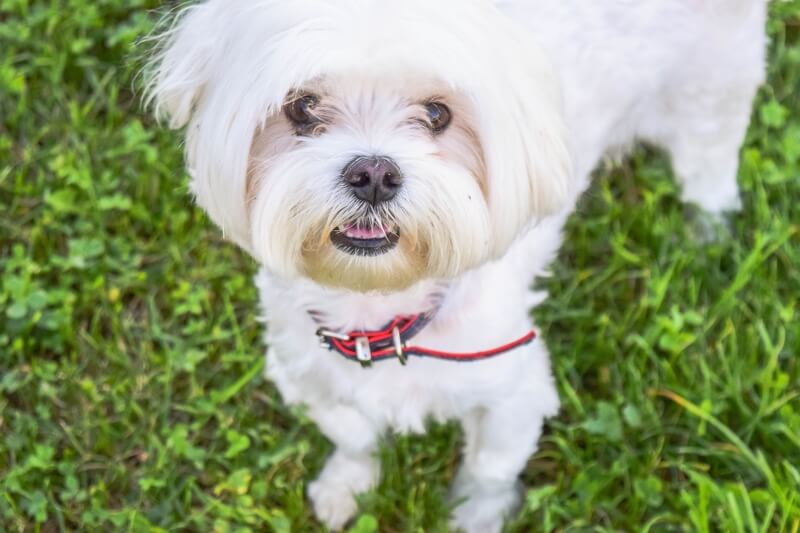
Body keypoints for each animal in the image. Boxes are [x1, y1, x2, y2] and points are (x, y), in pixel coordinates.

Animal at [145, 2, 768, 528]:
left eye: (437, 113)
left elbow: (489, 467)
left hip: (712, 95)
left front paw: (474, 515)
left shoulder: (514, 386)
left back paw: (707, 235)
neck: (382, 316)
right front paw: (348, 484)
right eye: (302, 107)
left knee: (711, 168)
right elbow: (353, 435)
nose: (374, 173)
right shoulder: (307, 372)